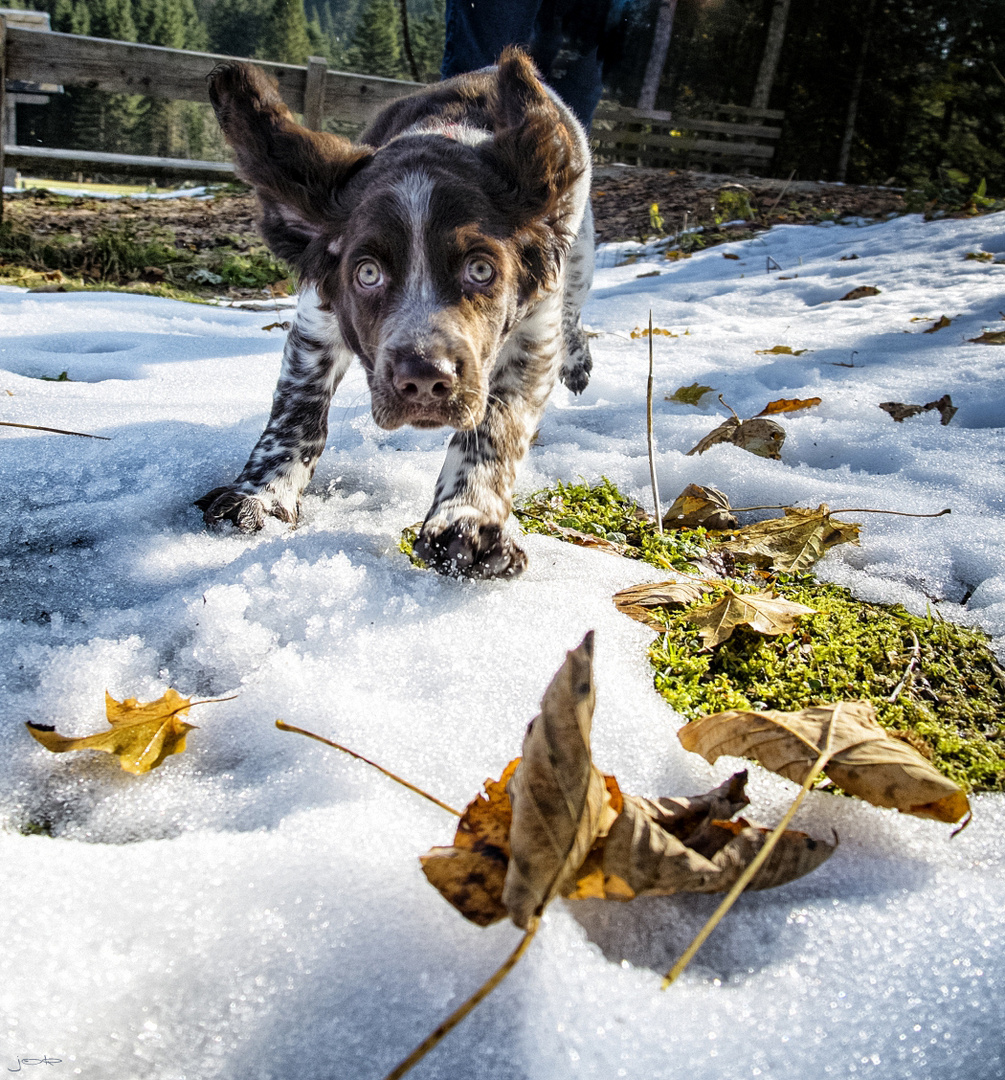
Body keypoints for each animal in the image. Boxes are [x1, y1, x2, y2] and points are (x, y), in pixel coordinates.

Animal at [196, 50, 591, 578]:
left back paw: (578, 362)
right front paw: (263, 492)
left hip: (579, 258)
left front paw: (468, 519)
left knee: (573, 314)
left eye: (481, 269)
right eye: (367, 273)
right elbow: (297, 410)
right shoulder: (317, 318)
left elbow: (494, 429)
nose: (424, 380)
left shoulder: (532, 334)